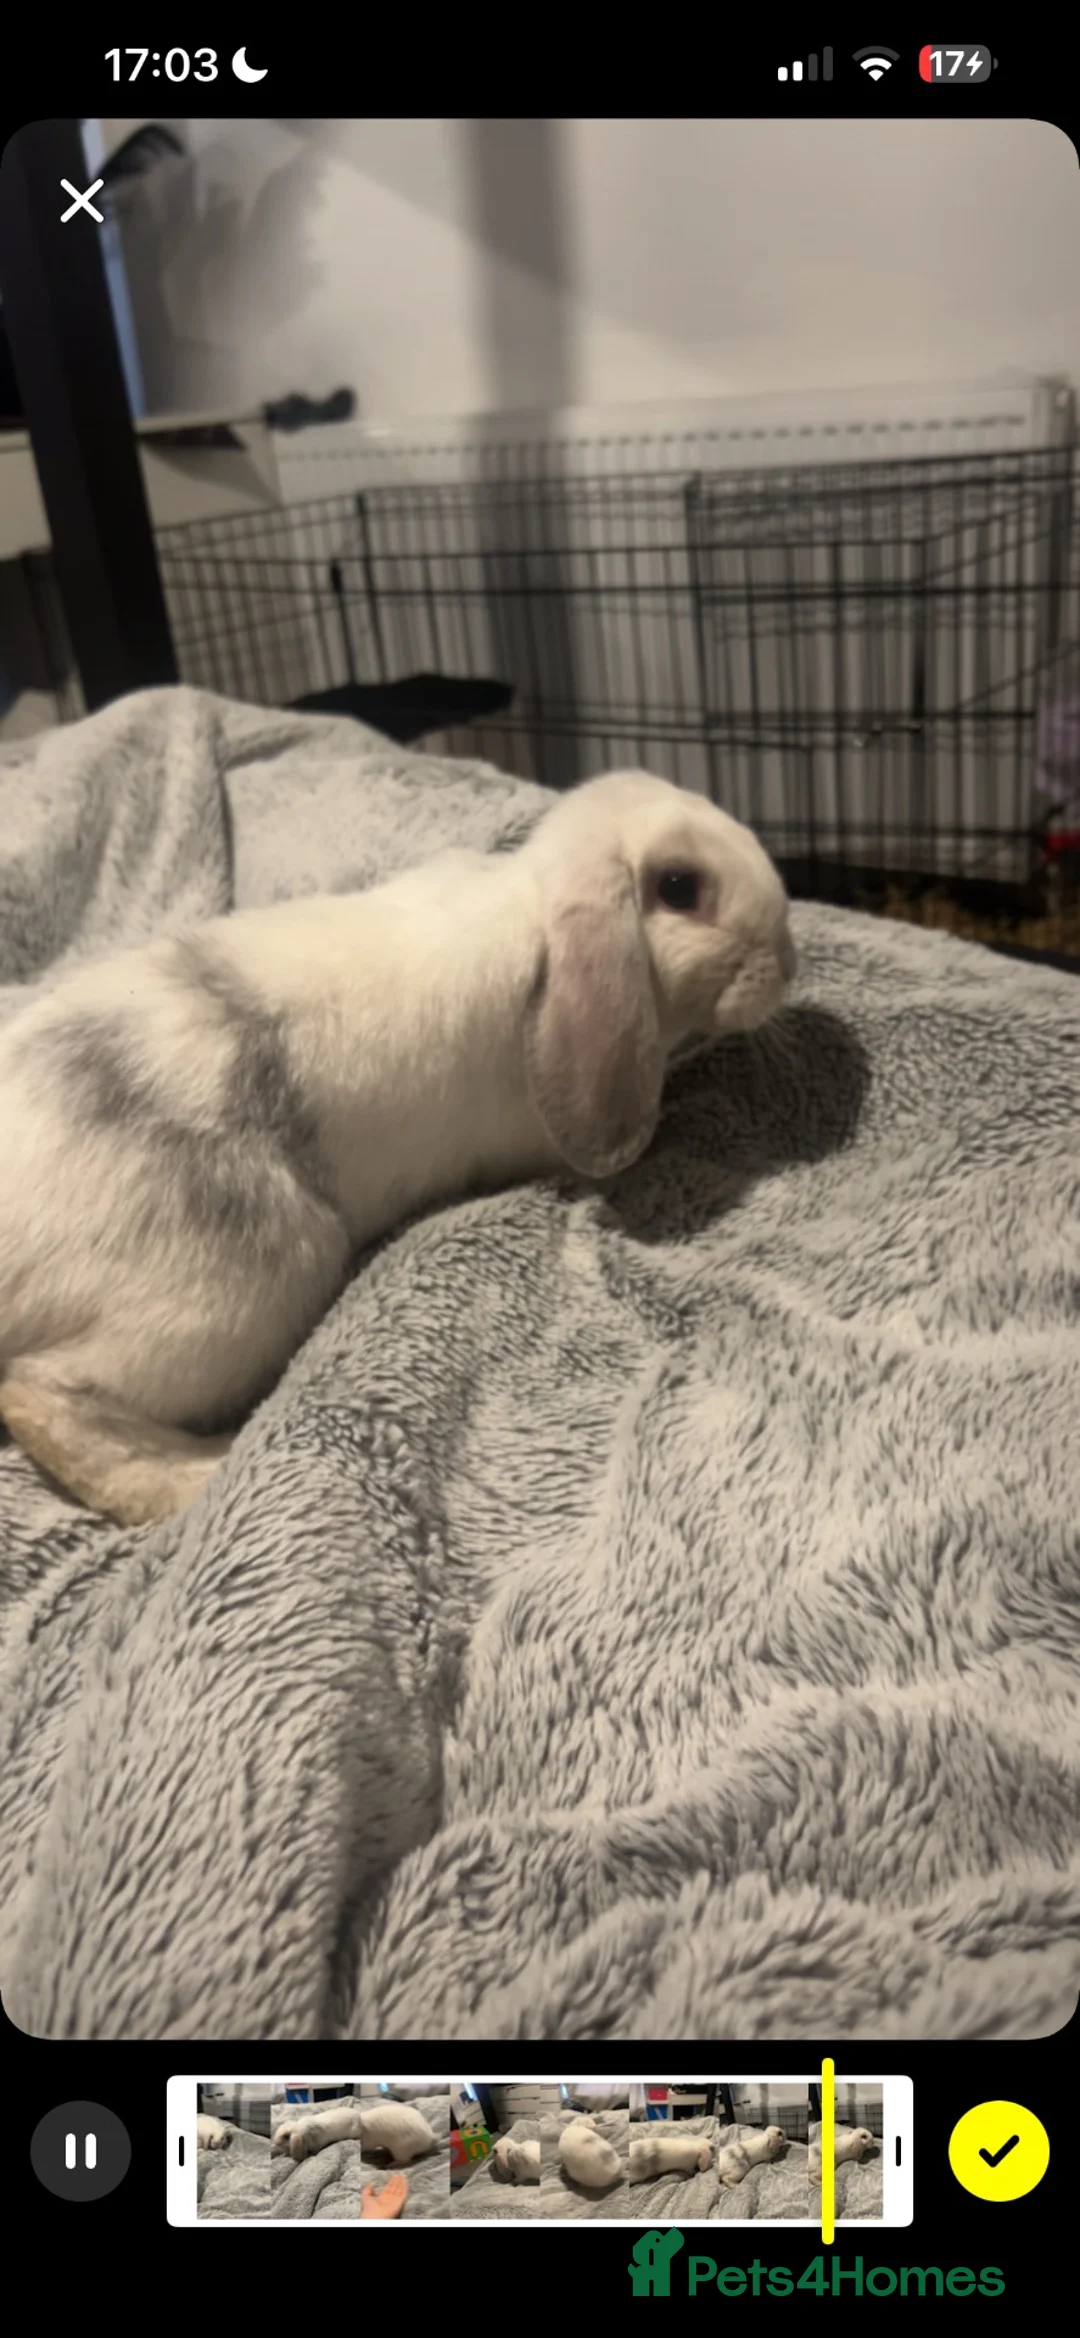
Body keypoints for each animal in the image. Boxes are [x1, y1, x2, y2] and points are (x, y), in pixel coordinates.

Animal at [0, 767, 795, 1527]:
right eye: (679, 887)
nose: (787, 963)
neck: (534, 905)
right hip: (244, 1279)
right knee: (45, 1398)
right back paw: (204, 1472)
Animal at [271, 2100, 437, 2165]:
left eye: (286, 2137)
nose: (275, 2144)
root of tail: (430, 2136)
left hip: (400, 2151)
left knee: (404, 2160)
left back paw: (390, 2164)